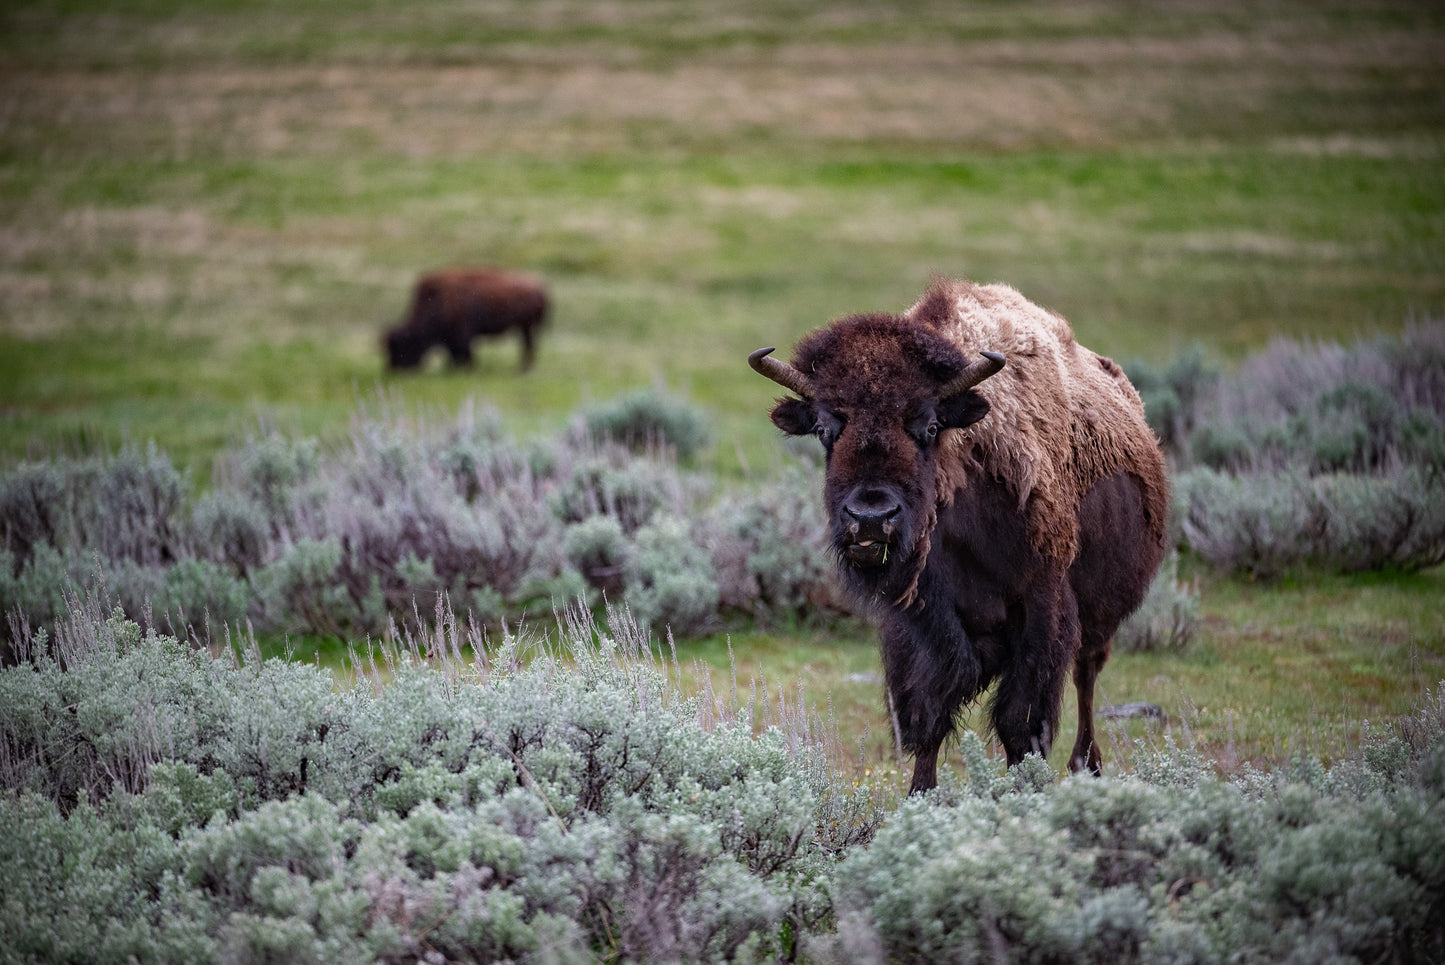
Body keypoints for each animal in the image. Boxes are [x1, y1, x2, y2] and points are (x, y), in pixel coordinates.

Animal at [384, 268, 548, 372]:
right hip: (525, 327)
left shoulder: (462, 335)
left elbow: (464, 352)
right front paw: (450, 369)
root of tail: (539, 287)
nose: (393, 369)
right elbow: (454, 353)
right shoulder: (452, 338)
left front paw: (467, 369)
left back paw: (523, 369)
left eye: (402, 345)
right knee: (529, 345)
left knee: (528, 346)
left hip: (526, 326)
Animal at [750, 278, 1169, 792]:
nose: (870, 516)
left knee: (1086, 675)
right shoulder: (917, 623)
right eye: (825, 428)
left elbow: (1020, 722)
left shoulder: (1044, 606)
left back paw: (1086, 765)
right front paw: (920, 795)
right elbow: (927, 715)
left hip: (1100, 613)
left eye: (930, 425)